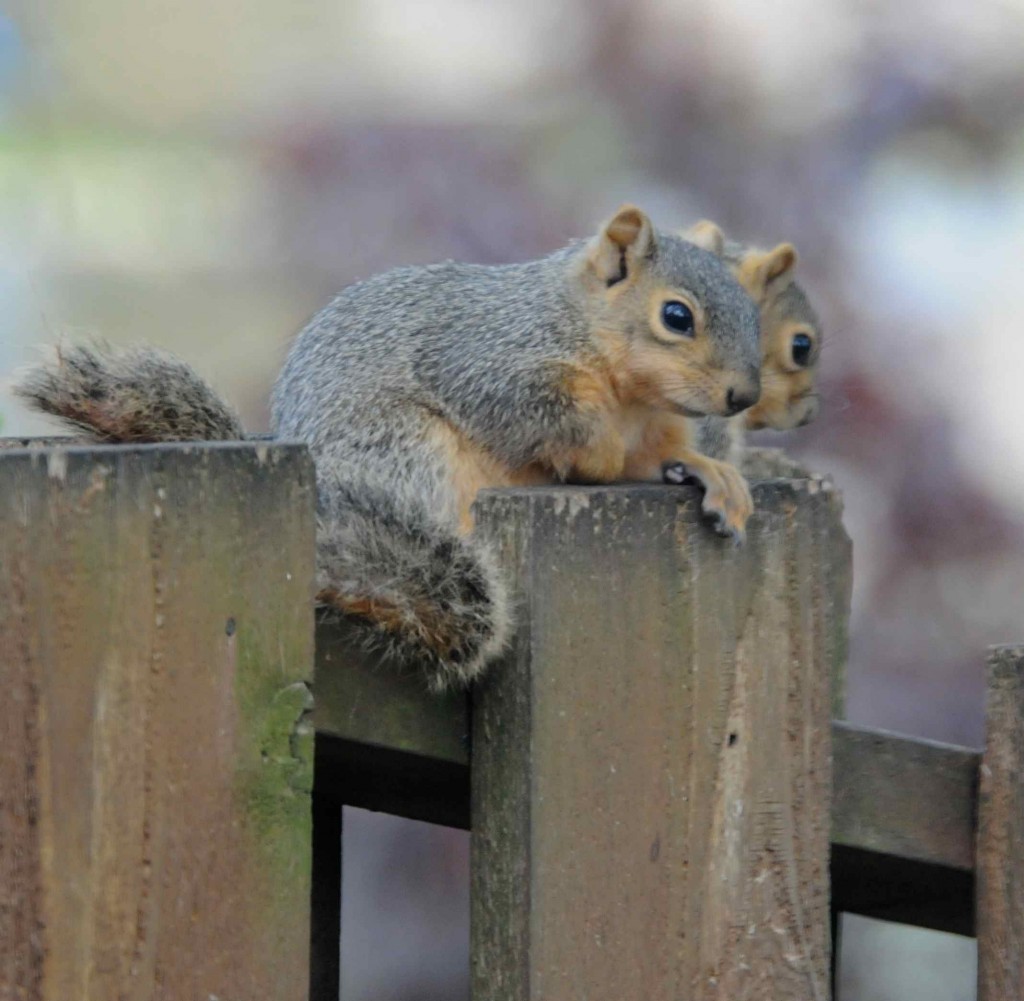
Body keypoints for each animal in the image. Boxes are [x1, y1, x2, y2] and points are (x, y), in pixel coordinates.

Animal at [19, 202, 765, 687]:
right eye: (676, 316)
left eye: (755, 314)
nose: (744, 396)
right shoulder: (486, 360)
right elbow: (538, 416)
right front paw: (596, 452)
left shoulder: (653, 426)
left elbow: (661, 455)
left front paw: (710, 472)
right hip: (405, 450)